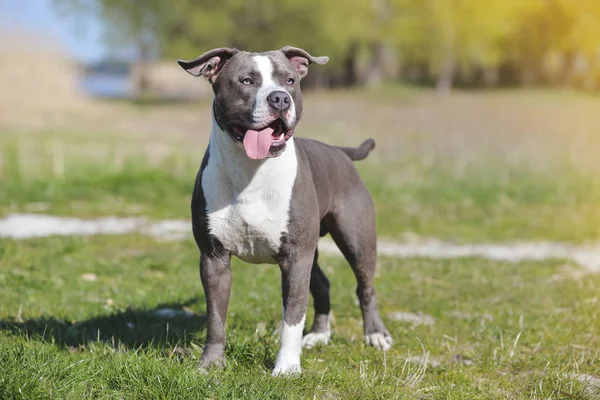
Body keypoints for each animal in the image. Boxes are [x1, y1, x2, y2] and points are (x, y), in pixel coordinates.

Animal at [178, 46, 394, 376]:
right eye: (246, 80)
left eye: (290, 80)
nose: (280, 98)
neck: (251, 171)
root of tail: (339, 152)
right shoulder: (214, 258)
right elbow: (215, 317)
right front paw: (211, 365)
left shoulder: (295, 259)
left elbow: (292, 316)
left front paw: (287, 368)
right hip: (312, 251)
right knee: (322, 284)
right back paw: (319, 335)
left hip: (357, 239)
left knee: (365, 286)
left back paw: (375, 335)